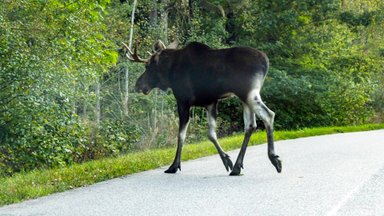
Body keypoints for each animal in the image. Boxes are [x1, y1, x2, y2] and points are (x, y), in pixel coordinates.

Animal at [123, 40, 282, 176]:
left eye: (148, 66)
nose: (138, 85)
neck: (169, 73)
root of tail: (266, 62)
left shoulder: (183, 101)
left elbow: (181, 135)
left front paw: (174, 166)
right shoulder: (210, 102)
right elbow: (211, 134)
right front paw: (226, 160)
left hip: (247, 92)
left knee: (269, 115)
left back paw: (274, 159)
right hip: (244, 97)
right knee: (251, 125)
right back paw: (237, 167)